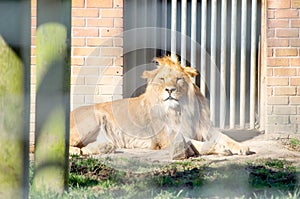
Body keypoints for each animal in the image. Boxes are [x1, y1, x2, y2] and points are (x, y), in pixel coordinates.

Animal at [69, 55, 250, 159]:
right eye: (162, 79)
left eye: (178, 79)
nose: (169, 90)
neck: (180, 110)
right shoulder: (169, 138)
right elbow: (199, 143)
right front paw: (220, 148)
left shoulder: (205, 128)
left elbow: (226, 137)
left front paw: (242, 147)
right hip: (93, 119)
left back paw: (104, 147)